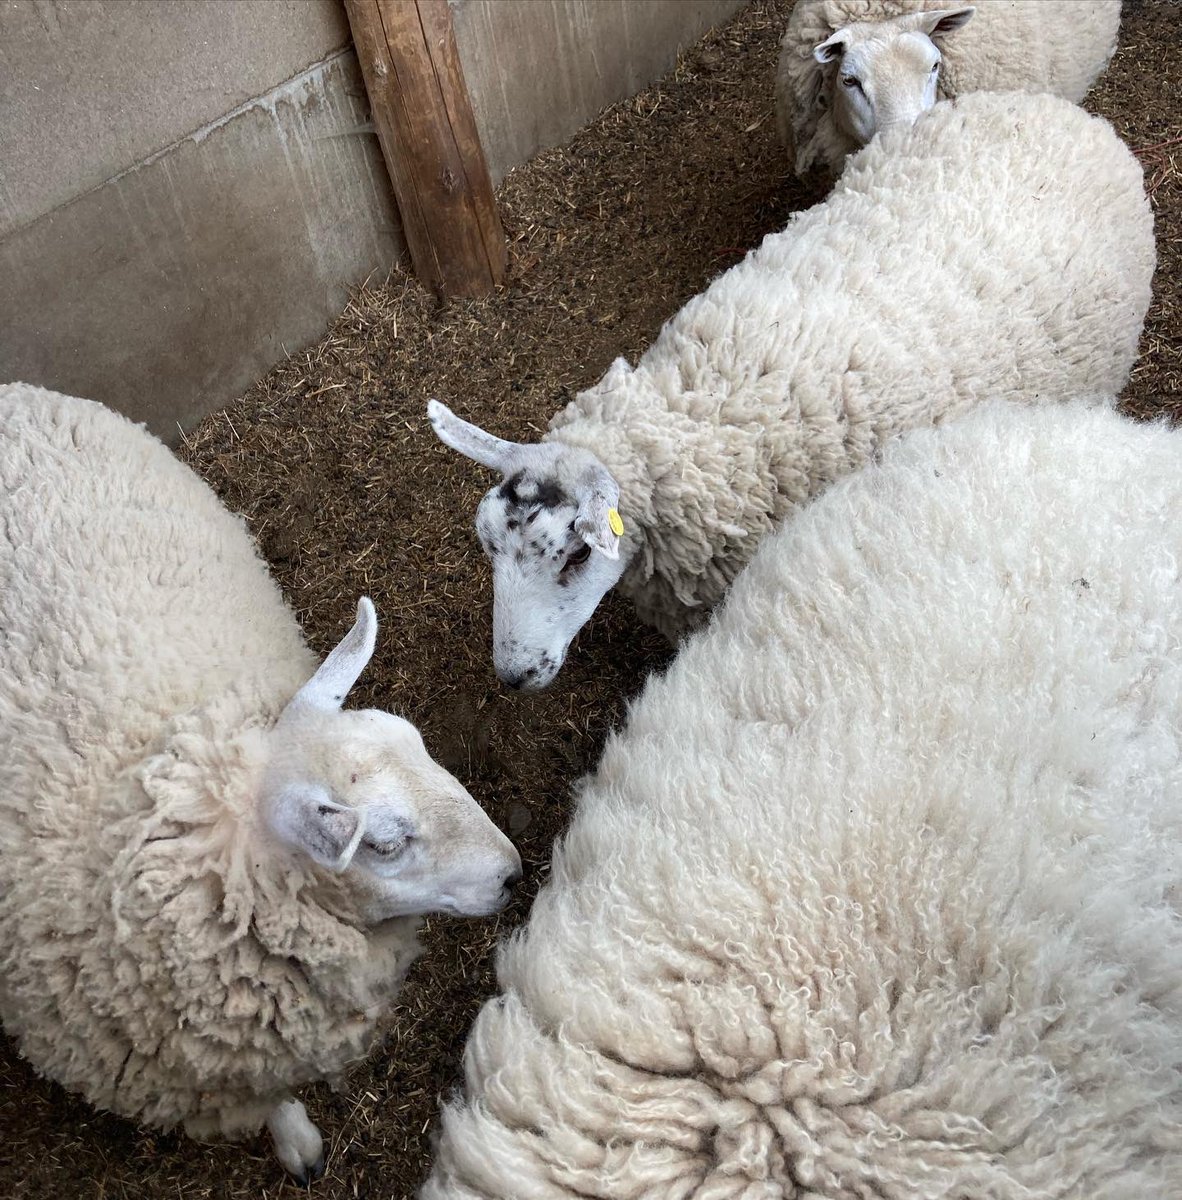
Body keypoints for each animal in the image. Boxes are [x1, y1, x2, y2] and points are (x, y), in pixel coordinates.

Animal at [0, 383, 522, 1181]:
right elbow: (270, 1100)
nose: (513, 874)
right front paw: (297, 1143)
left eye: (422, 745)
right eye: (387, 844)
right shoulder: (216, 1071)